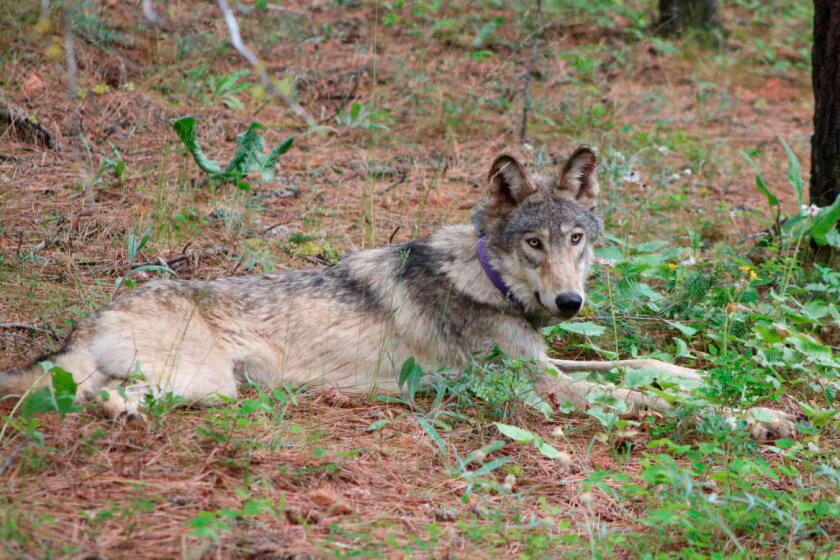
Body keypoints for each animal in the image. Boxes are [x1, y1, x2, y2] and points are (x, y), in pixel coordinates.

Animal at [0, 146, 794, 439]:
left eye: (576, 238)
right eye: (533, 244)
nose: (570, 304)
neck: (488, 280)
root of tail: (97, 313)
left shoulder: (543, 363)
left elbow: (641, 367)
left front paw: (705, 380)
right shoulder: (536, 389)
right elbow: (635, 397)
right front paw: (754, 417)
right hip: (205, 384)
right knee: (92, 396)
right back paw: (118, 415)